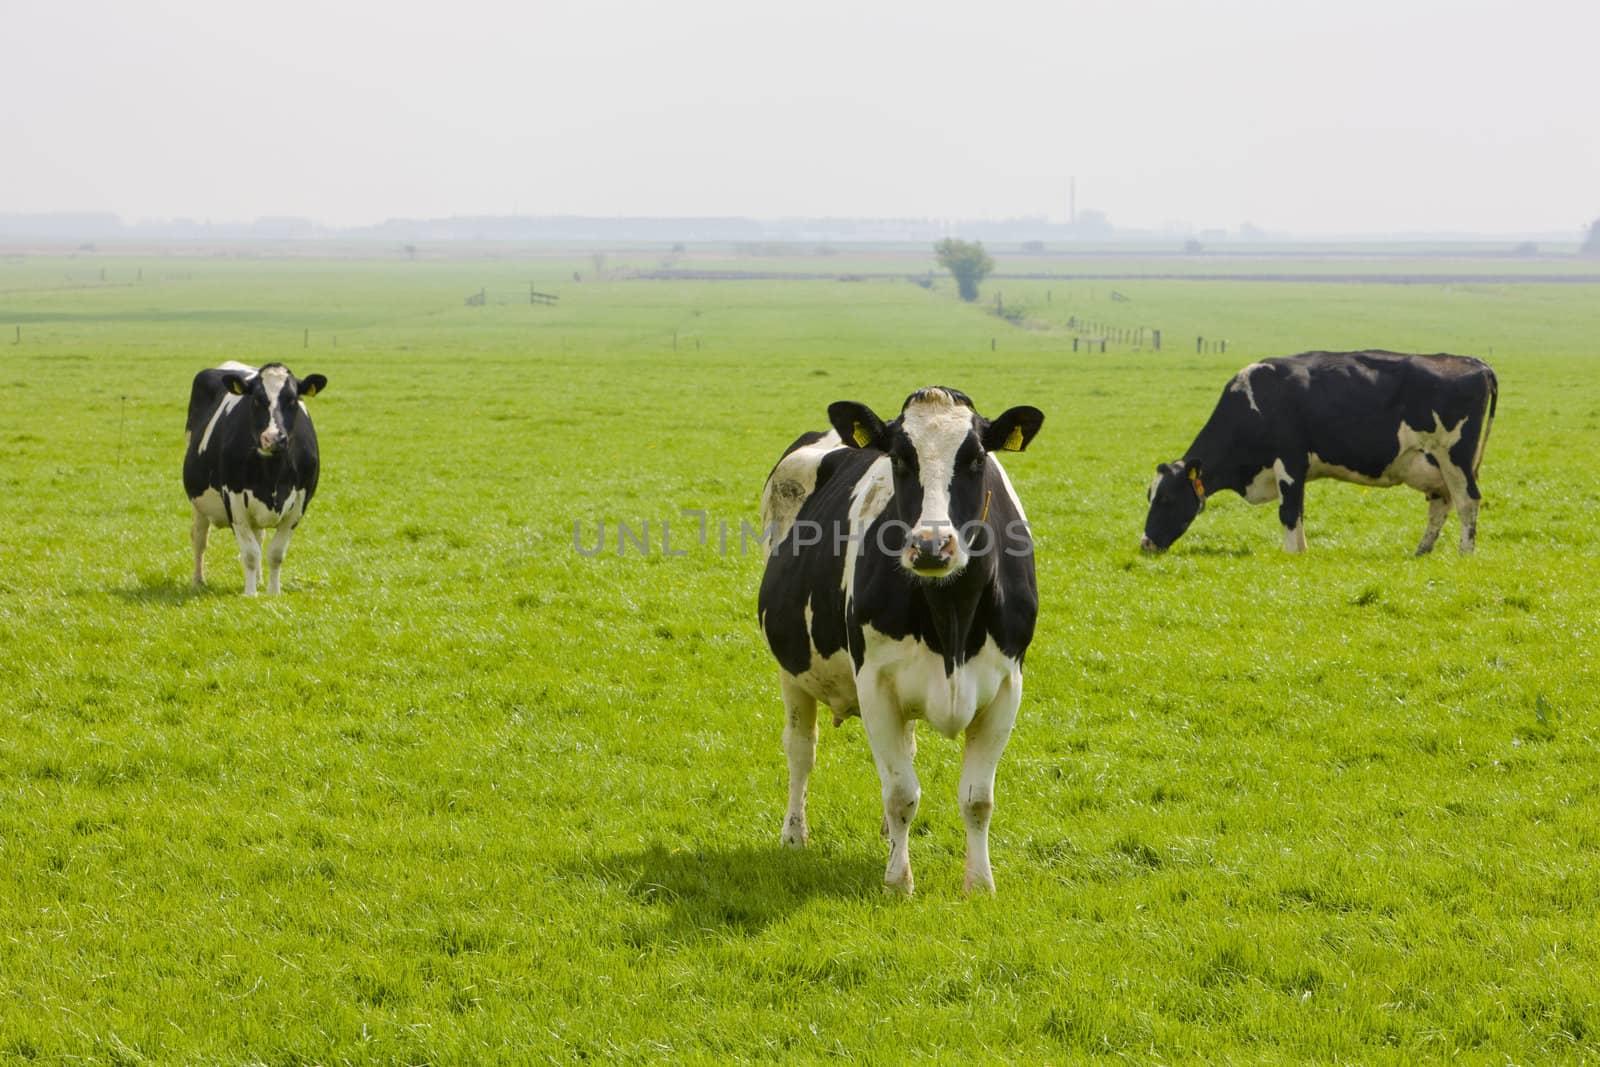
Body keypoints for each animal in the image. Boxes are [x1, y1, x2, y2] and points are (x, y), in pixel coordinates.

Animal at [184, 363, 328, 598]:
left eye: (292, 399)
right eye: (257, 400)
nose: (273, 438)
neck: (273, 474)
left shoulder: (300, 502)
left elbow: (275, 553)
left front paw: (273, 592)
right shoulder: (233, 500)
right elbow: (250, 553)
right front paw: (250, 594)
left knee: (259, 538)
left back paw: (260, 580)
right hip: (198, 501)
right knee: (199, 539)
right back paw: (198, 581)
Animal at [755, 383, 1043, 895]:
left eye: (975, 458)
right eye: (899, 458)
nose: (931, 546)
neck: (951, 619)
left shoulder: (1006, 687)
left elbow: (978, 798)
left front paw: (980, 884)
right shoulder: (875, 684)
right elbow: (901, 792)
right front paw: (898, 880)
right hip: (792, 666)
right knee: (801, 750)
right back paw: (794, 834)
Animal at [1139, 350, 1497, 556]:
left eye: (1166, 498)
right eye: (1149, 495)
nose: (1145, 543)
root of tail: (1475, 363)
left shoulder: (1288, 463)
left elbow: (1288, 512)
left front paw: (1290, 553)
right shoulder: (1297, 471)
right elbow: (1298, 511)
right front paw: (1301, 550)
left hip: (1454, 457)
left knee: (1467, 500)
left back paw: (1465, 552)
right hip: (1433, 464)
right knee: (1442, 504)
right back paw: (1421, 550)